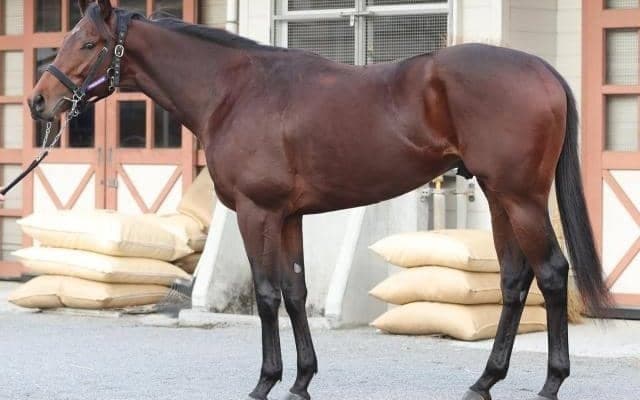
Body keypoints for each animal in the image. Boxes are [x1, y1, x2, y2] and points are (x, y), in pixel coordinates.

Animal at [29, 1, 610, 399]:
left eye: (86, 44)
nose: (38, 101)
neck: (236, 92)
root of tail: (542, 70)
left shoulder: (256, 213)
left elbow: (267, 295)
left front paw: (266, 382)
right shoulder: (288, 217)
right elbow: (294, 291)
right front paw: (302, 381)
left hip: (520, 197)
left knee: (552, 273)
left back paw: (550, 384)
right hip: (497, 196)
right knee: (514, 279)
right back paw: (484, 381)